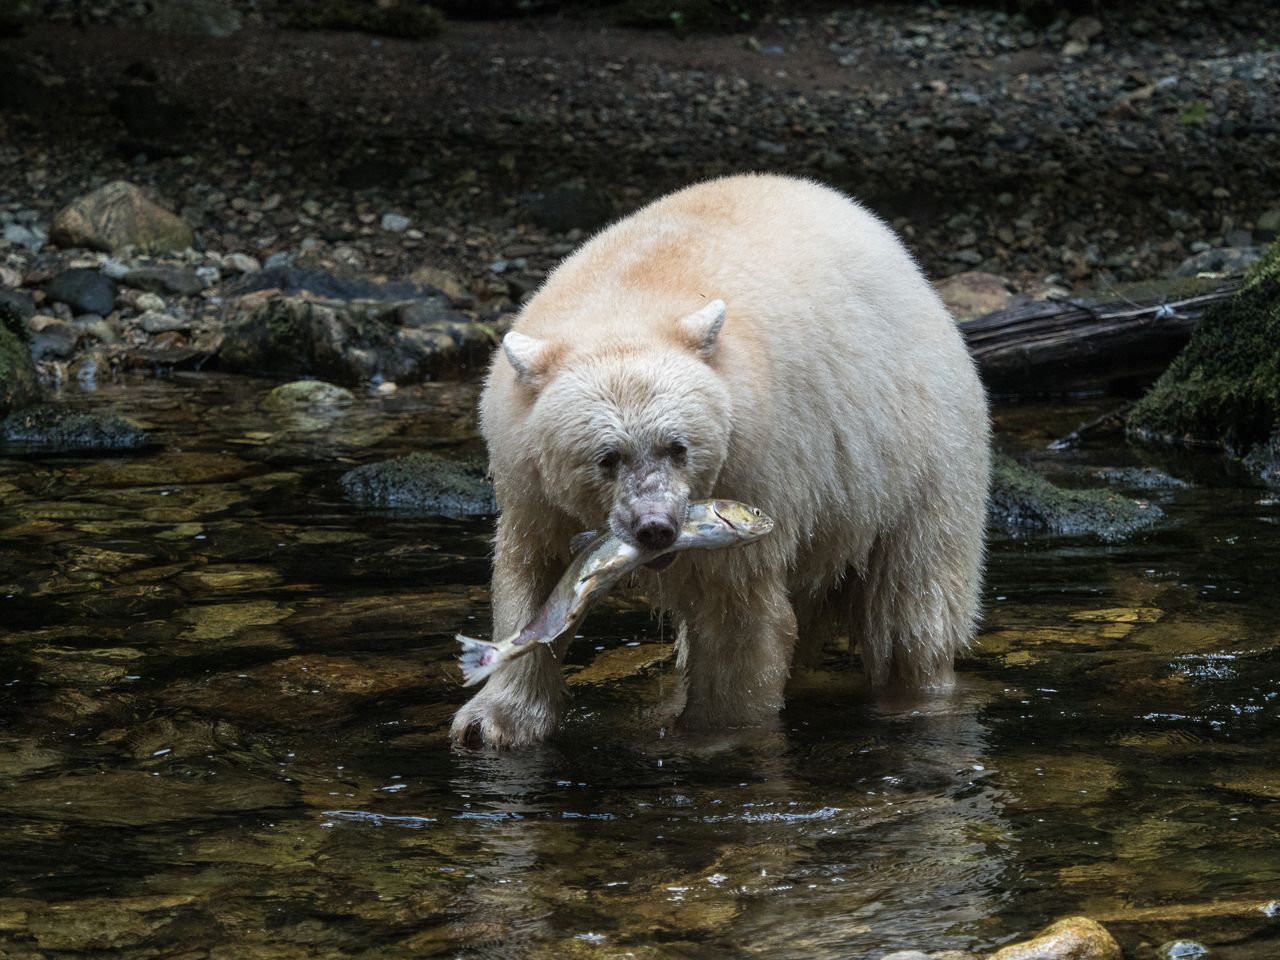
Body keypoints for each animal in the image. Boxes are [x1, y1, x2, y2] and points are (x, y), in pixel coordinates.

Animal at [450, 172, 988, 747]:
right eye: (606, 457)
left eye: (678, 446)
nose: (656, 527)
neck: (626, 298)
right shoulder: (529, 482)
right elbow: (534, 575)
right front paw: (492, 722)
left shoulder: (757, 465)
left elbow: (738, 610)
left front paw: (714, 732)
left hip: (917, 452)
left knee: (914, 601)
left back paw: (917, 691)